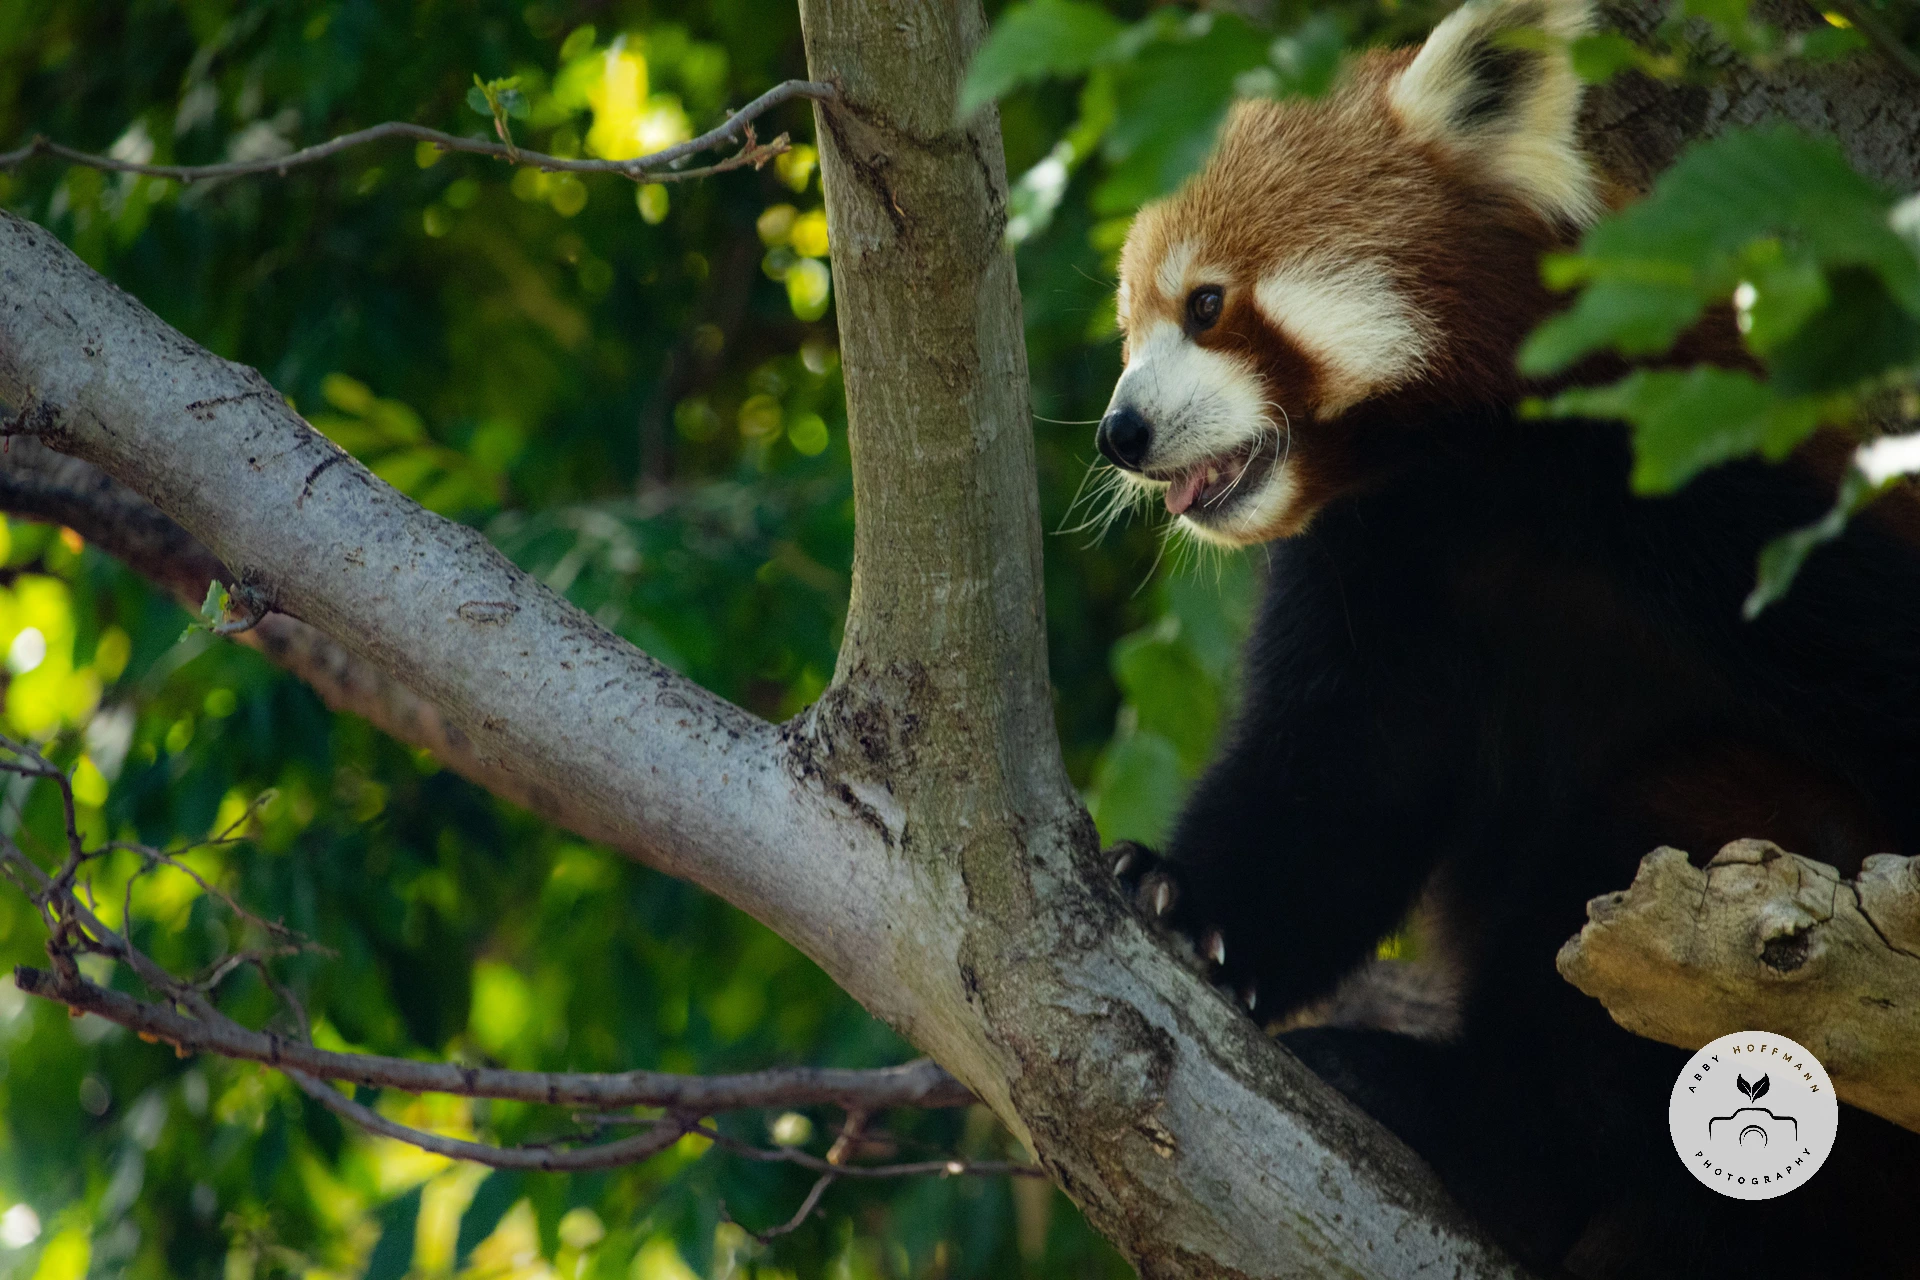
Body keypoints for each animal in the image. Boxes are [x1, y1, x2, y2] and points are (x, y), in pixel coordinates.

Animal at [1094, 0, 1920, 1275]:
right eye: (1134, 317)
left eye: (1207, 304)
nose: (1120, 432)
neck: (1472, 470)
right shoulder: (1378, 560)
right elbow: (1343, 779)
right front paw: (1186, 894)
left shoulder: (1723, 479)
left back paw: (1468, 1120)